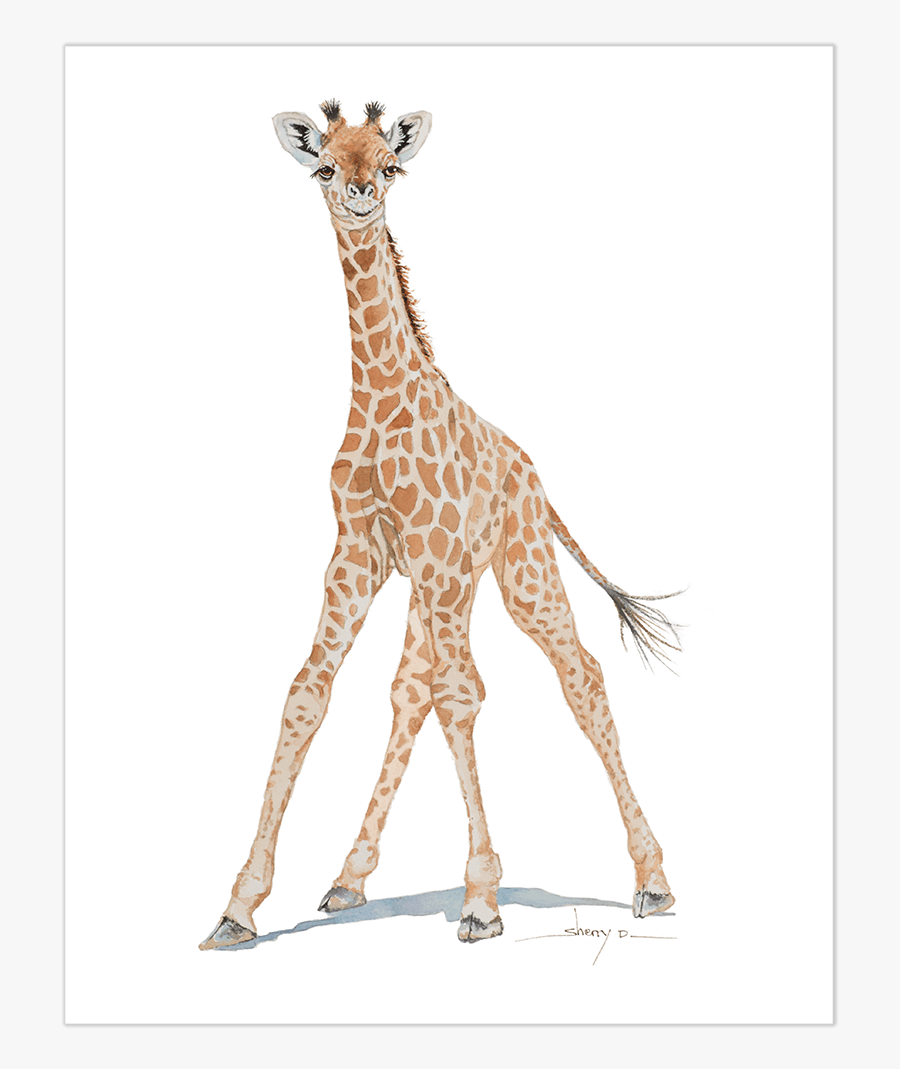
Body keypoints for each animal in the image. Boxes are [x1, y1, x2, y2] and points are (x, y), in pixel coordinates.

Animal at [199, 100, 680, 951]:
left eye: (390, 165)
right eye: (326, 166)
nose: (360, 197)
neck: (379, 398)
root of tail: (533, 473)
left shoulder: (430, 553)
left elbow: (464, 694)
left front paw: (481, 900)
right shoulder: (360, 552)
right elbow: (309, 692)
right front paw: (238, 905)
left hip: (517, 567)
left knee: (578, 676)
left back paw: (653, 881)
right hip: (450, 581)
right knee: (411, 690)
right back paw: (348, 877)